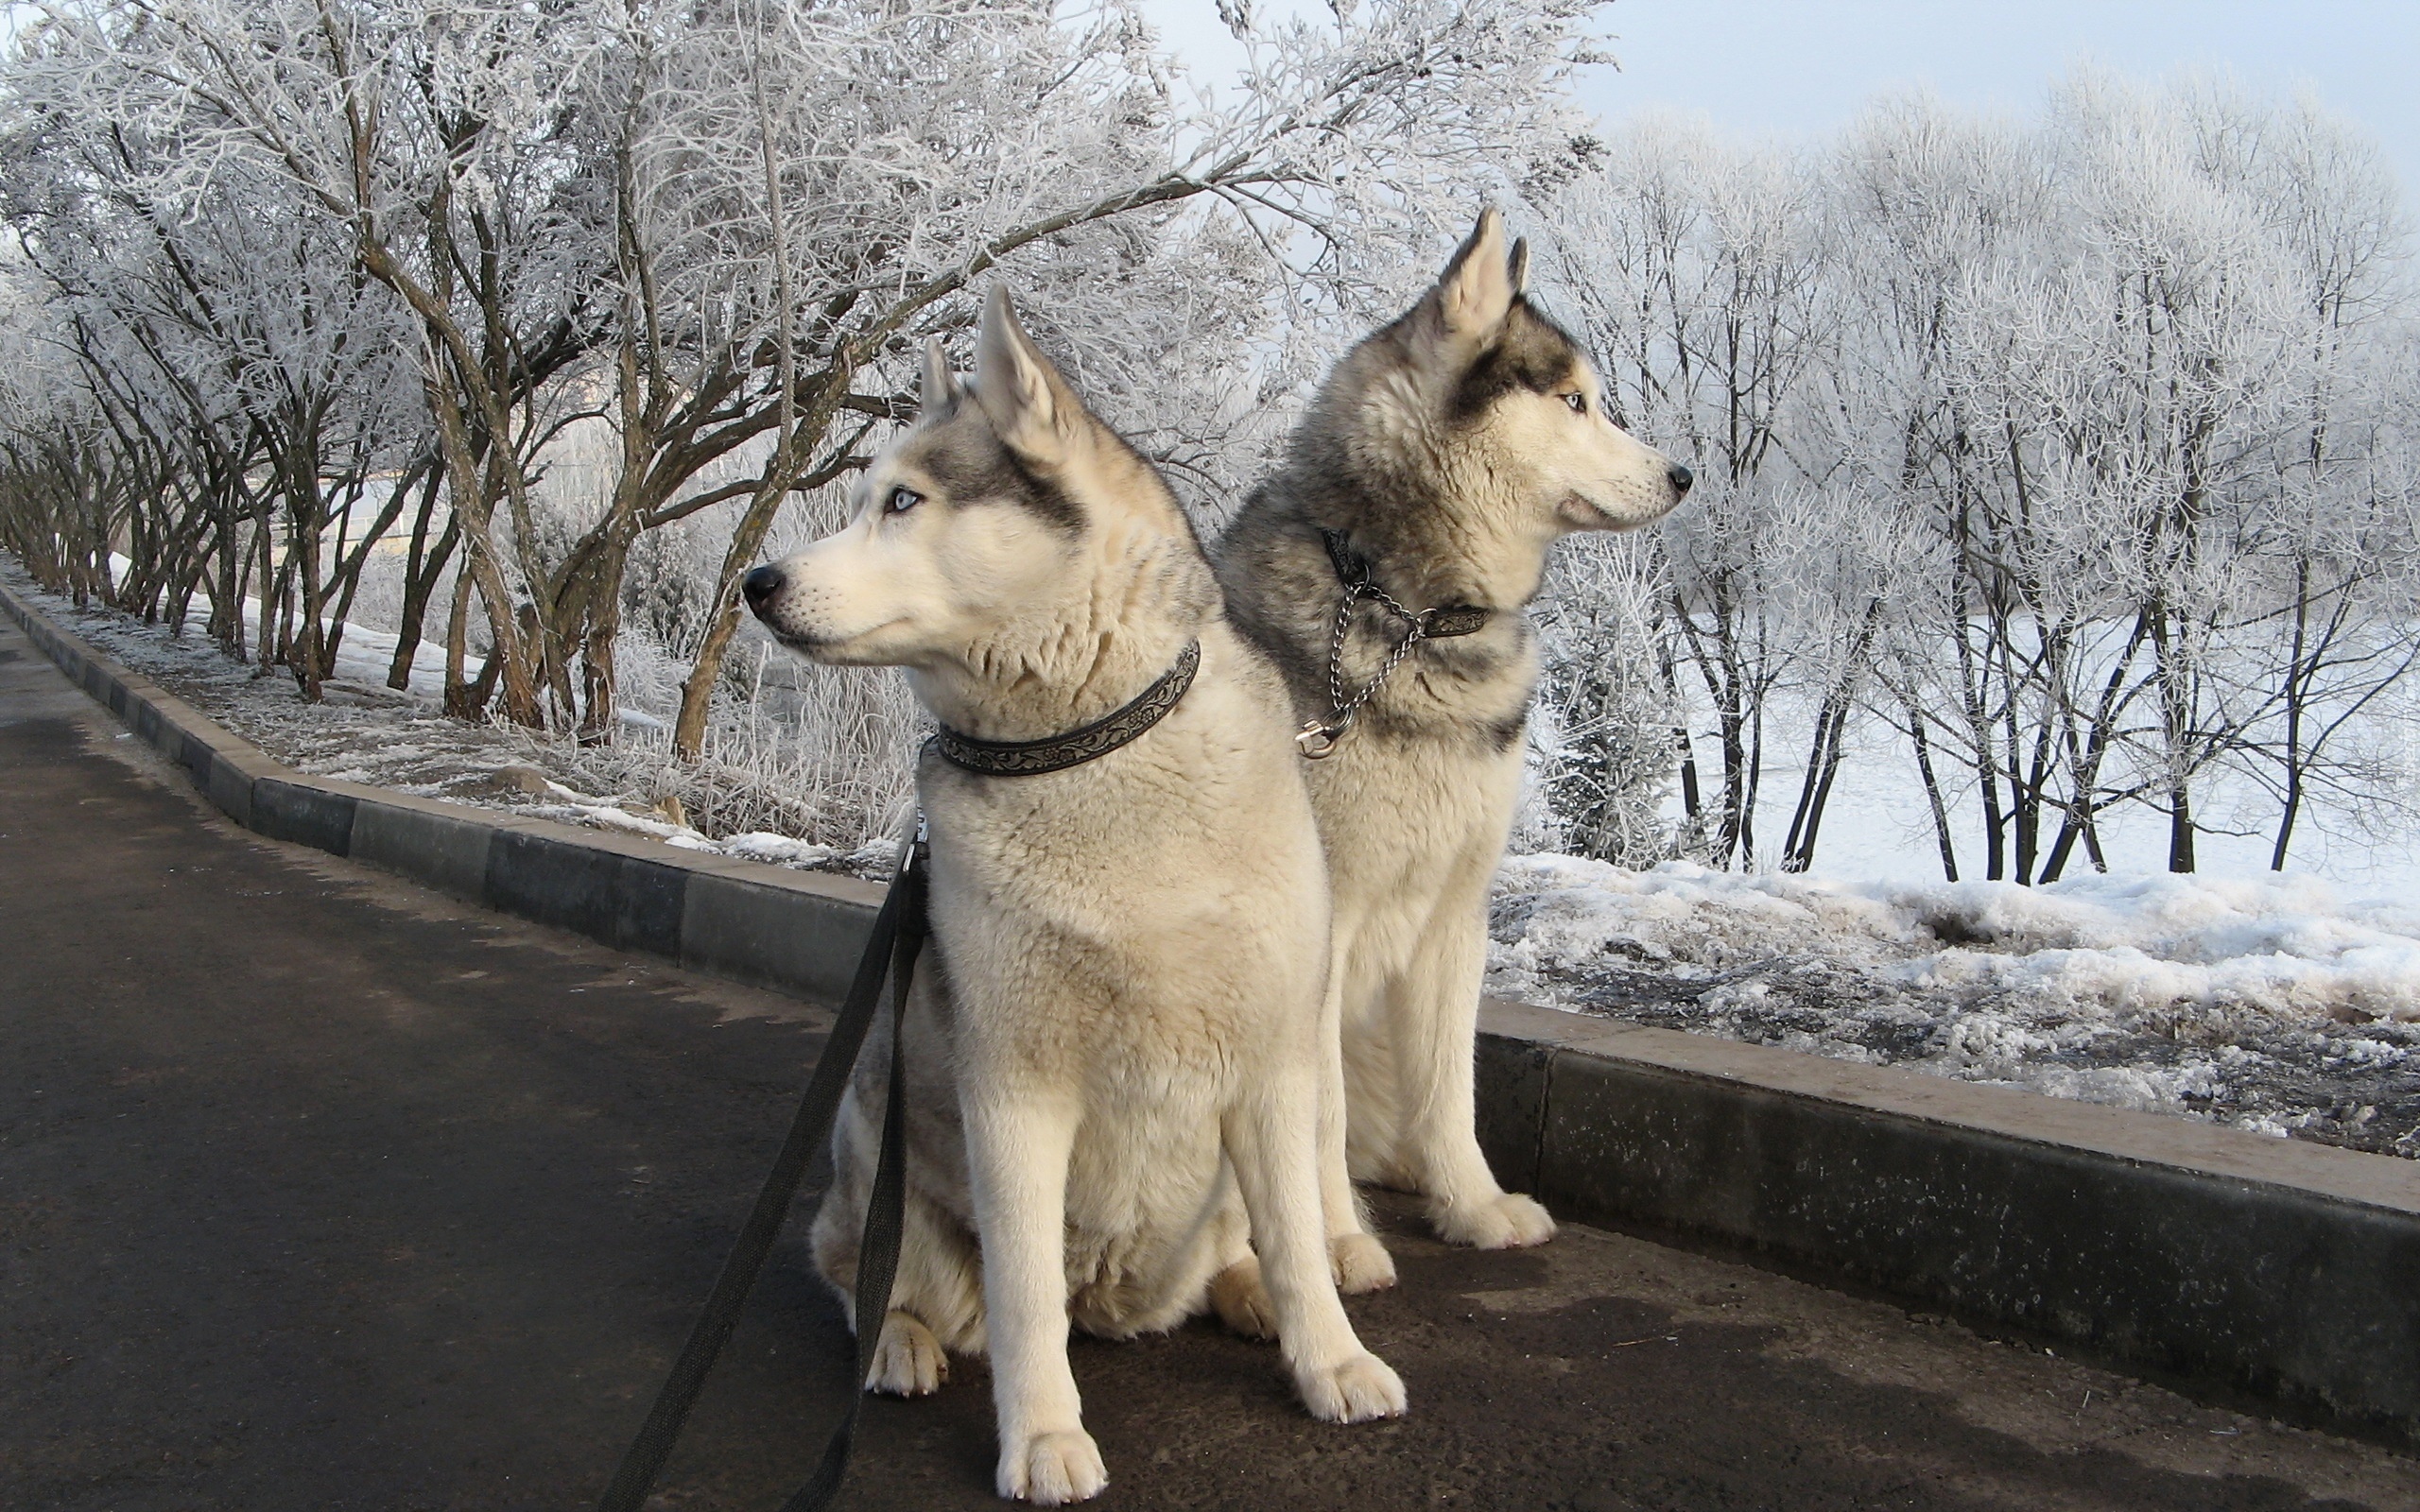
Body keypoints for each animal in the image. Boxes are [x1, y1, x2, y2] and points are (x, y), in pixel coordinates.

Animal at [745, 288, 1413, 1500]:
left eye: (903, 500)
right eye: (865, 498)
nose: (756, 583)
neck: (1089, 751)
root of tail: (1114, 1298)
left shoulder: (1274, 1065)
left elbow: (1302, 1240)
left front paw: (1330, 1360)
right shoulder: (1015, 1089)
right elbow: (1020, 1305)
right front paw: (1044, 1436)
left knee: (1235, 1251)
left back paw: (1243, 1295)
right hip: (881, 1144)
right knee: (870, 1275)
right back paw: (898, 1345)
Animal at [1219, 206, 1694, 1258]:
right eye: (1574, 400)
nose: (1683, 474)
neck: (1414, 615)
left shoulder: (1455, 916)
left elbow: (1452, 1089)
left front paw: (1471, 1207)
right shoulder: (1325, 931)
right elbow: (1316, 1111)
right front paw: (1337, 1245)